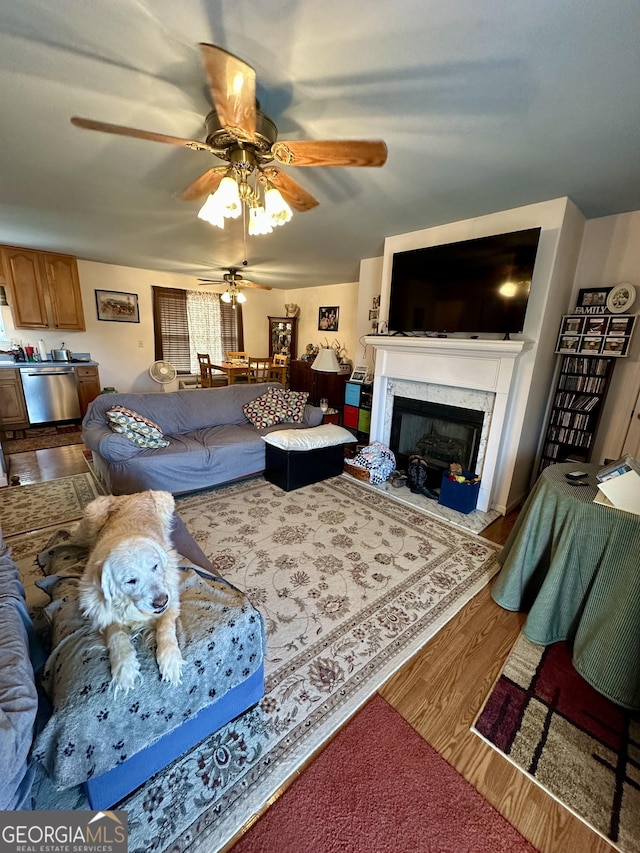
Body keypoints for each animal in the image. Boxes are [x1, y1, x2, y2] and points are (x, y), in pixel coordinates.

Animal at [74, 492, 186, 692]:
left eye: (155, 566)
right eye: (130, 581)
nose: (161, 601)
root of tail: (130, 495)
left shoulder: (171, 598)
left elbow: (166, 627)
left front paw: (170, 660)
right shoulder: (103, 612)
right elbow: (116, 635)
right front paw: (124, 668)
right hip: (92, 512)